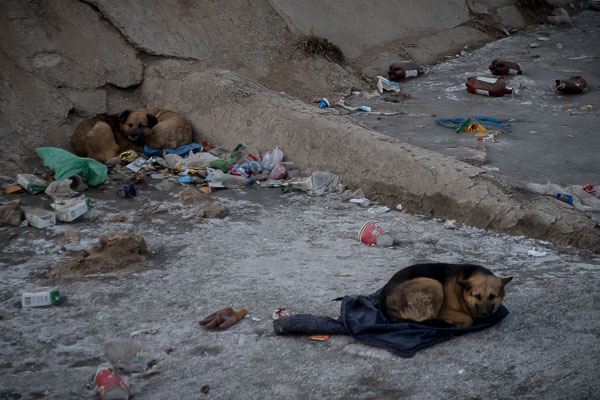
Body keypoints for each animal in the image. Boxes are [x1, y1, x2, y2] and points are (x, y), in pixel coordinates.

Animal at [379, 263, 512, 327]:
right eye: (477, 296)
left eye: (492, 296)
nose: (484, 313)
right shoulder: (445, 311)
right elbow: (468, 319)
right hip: (434, 284)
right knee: (430, 319)